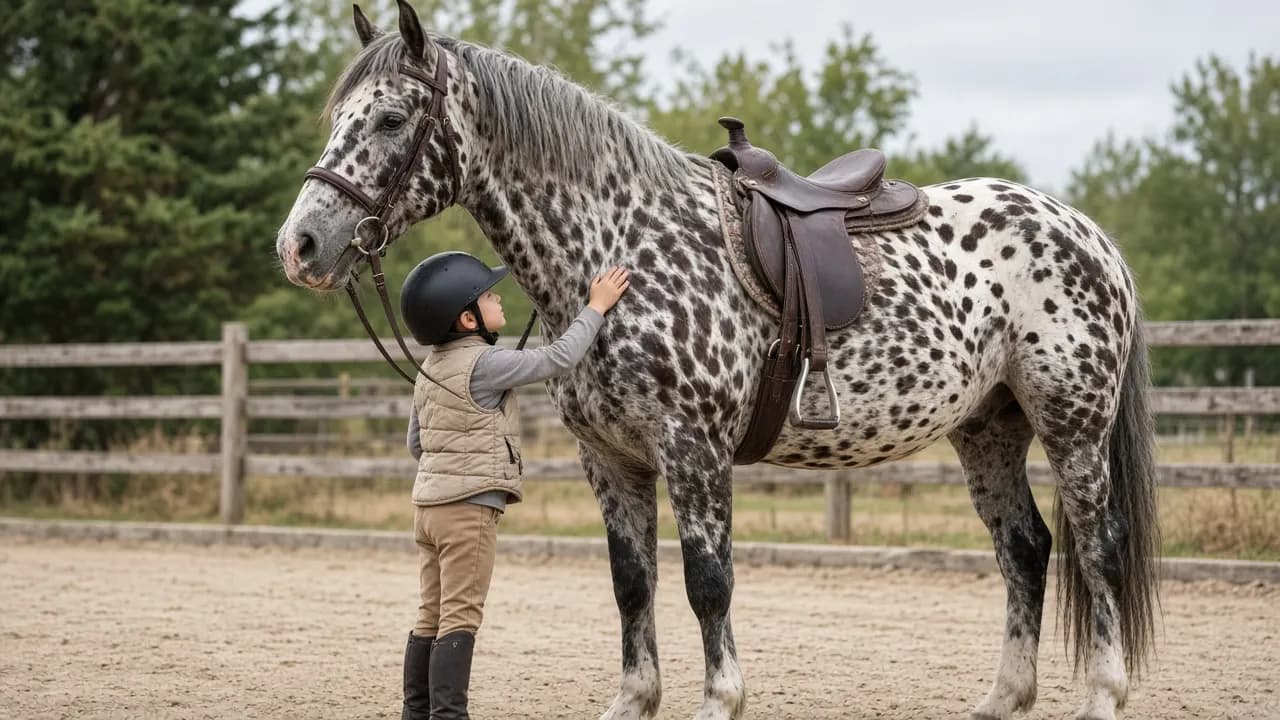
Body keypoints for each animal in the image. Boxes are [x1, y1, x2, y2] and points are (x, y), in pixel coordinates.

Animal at [275, 4, 1159, 719]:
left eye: (392, 119)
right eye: (341, 115)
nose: (301, 245)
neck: (623, 244)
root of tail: (1090, 235)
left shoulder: (693, 449)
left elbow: (708, 581)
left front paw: (718, 700)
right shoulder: (612, 459)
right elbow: (632, 582)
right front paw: (634, 701)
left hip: (1073, 427)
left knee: (1098, 545)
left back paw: (1103, 694)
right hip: (988, 429)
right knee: (1026, 550)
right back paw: (1005, 696)